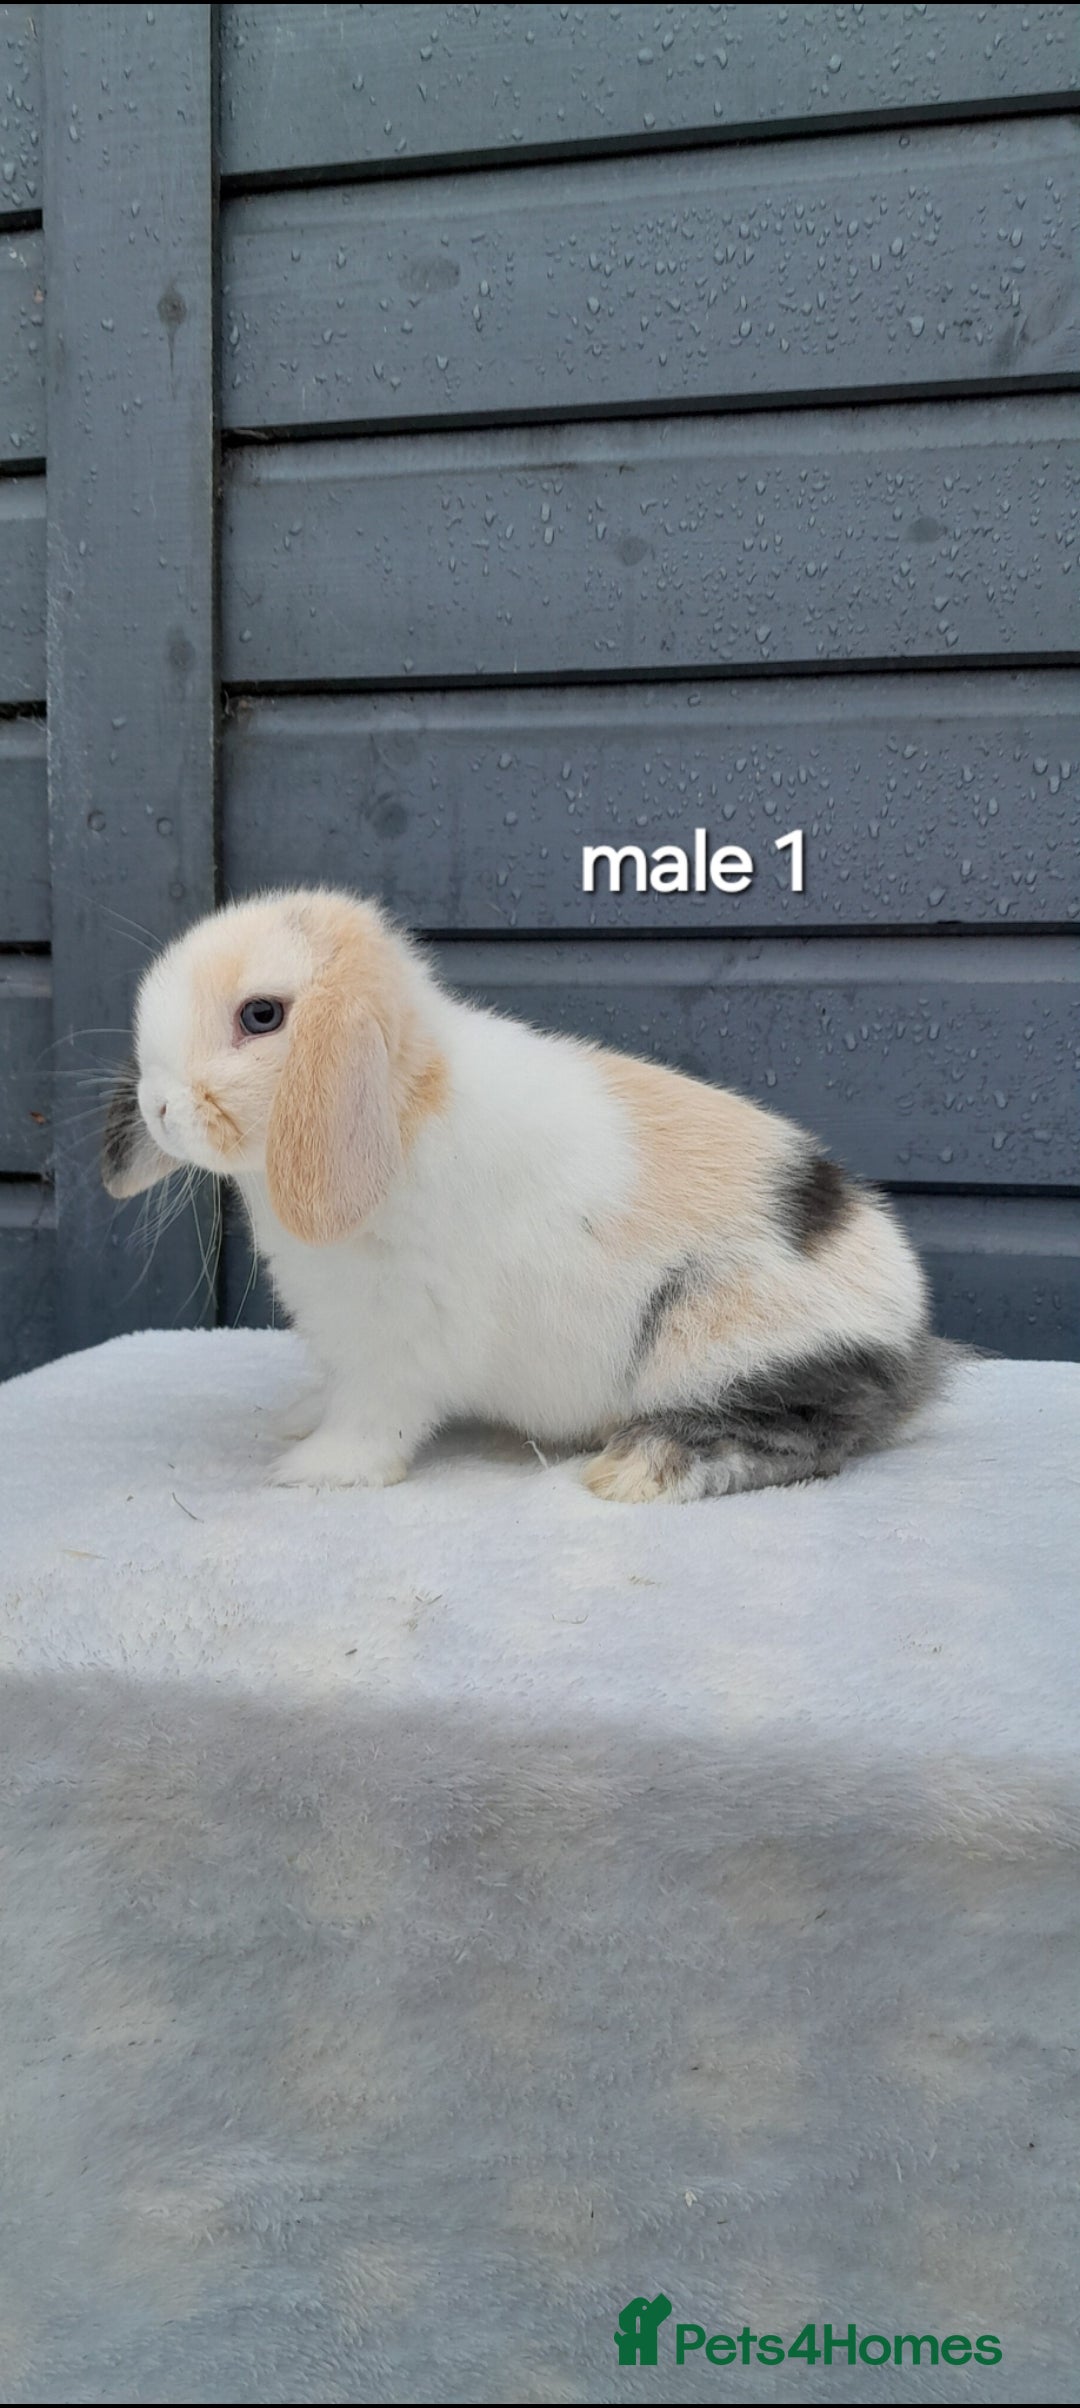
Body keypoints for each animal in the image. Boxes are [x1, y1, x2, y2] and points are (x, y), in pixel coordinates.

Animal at [102, 886, 944, 1502]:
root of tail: (911, 1343)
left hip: (728, 1345)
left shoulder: (405, 1335)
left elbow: (376, 1412)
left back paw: (637, 1467)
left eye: (262, 1015)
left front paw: (318, 1470)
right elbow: (337, 1385)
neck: (404, 1105)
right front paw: (299, 1421)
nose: (160, 1107)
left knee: (803, 1434)